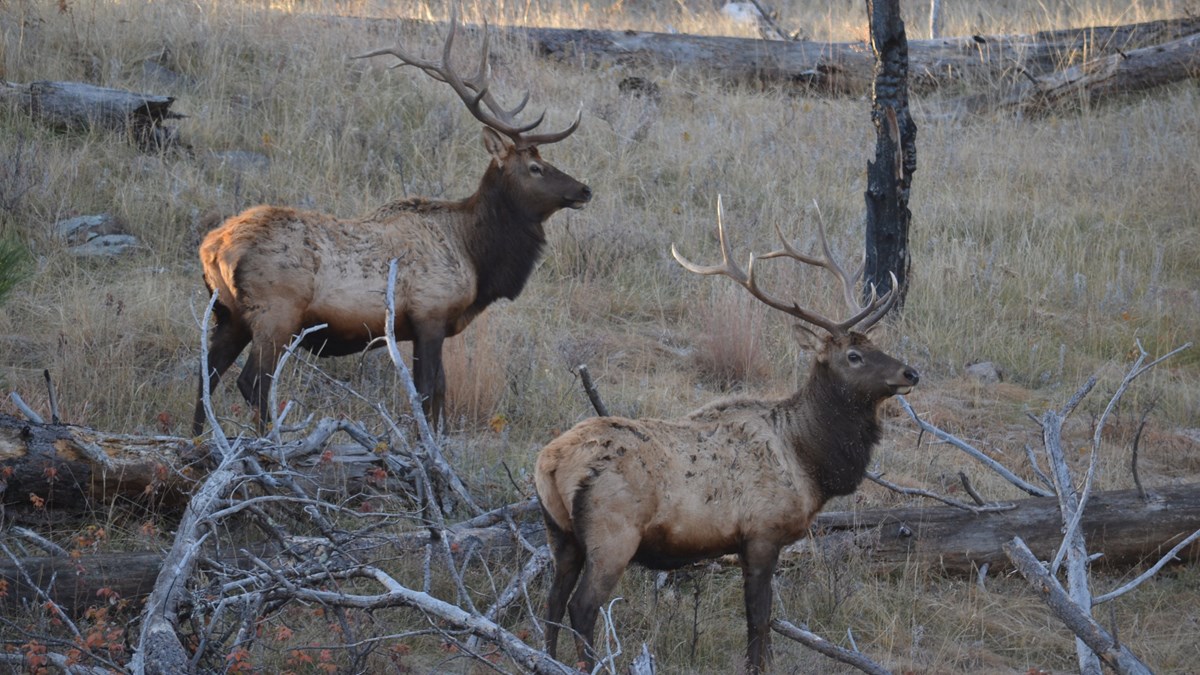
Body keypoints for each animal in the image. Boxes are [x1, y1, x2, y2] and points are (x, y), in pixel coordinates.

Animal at [192, 13, 591, 436]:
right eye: (535, 168)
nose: (584, 189)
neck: (474, 254)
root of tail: (213, 247)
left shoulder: (418, 327)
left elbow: (438, 392)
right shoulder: (430, 313)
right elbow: (428, 391)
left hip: (229, 313)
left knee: (206, 375)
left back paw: (199, 440)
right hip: (275, 312)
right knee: (252, 381)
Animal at [534, 199, 919, 673]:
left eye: (874, 345)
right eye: (854, 356)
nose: (910, 372)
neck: (809, 461)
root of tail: (550, 462)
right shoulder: (762, 533)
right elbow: (758, 621)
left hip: (560, 533)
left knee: (551, 603)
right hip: (612, 532)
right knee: (581, 607)